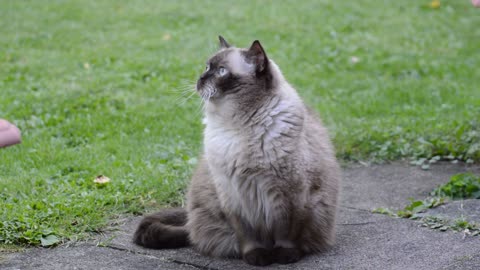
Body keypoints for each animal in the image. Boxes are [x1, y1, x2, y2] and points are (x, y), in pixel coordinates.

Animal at [133, 35, 340, 266]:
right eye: (207, 67)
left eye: (222, 71)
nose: (200, 78)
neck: (236, 126)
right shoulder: (233, 196)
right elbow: (248, 237)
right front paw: (257, 258)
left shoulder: (292, 194)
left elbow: (287, 233)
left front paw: (285, 257)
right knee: (193, 233)